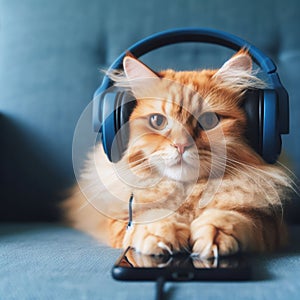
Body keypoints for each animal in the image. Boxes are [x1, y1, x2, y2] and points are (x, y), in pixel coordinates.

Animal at [62, 50, 292, 258]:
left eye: (208, 121)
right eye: (157, 121)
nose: (181, 145)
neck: (187, 192)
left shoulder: (271, 224)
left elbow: (232, 217)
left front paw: (214, 236)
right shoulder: (116, 218)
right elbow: (148, 219)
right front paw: (162, 234)